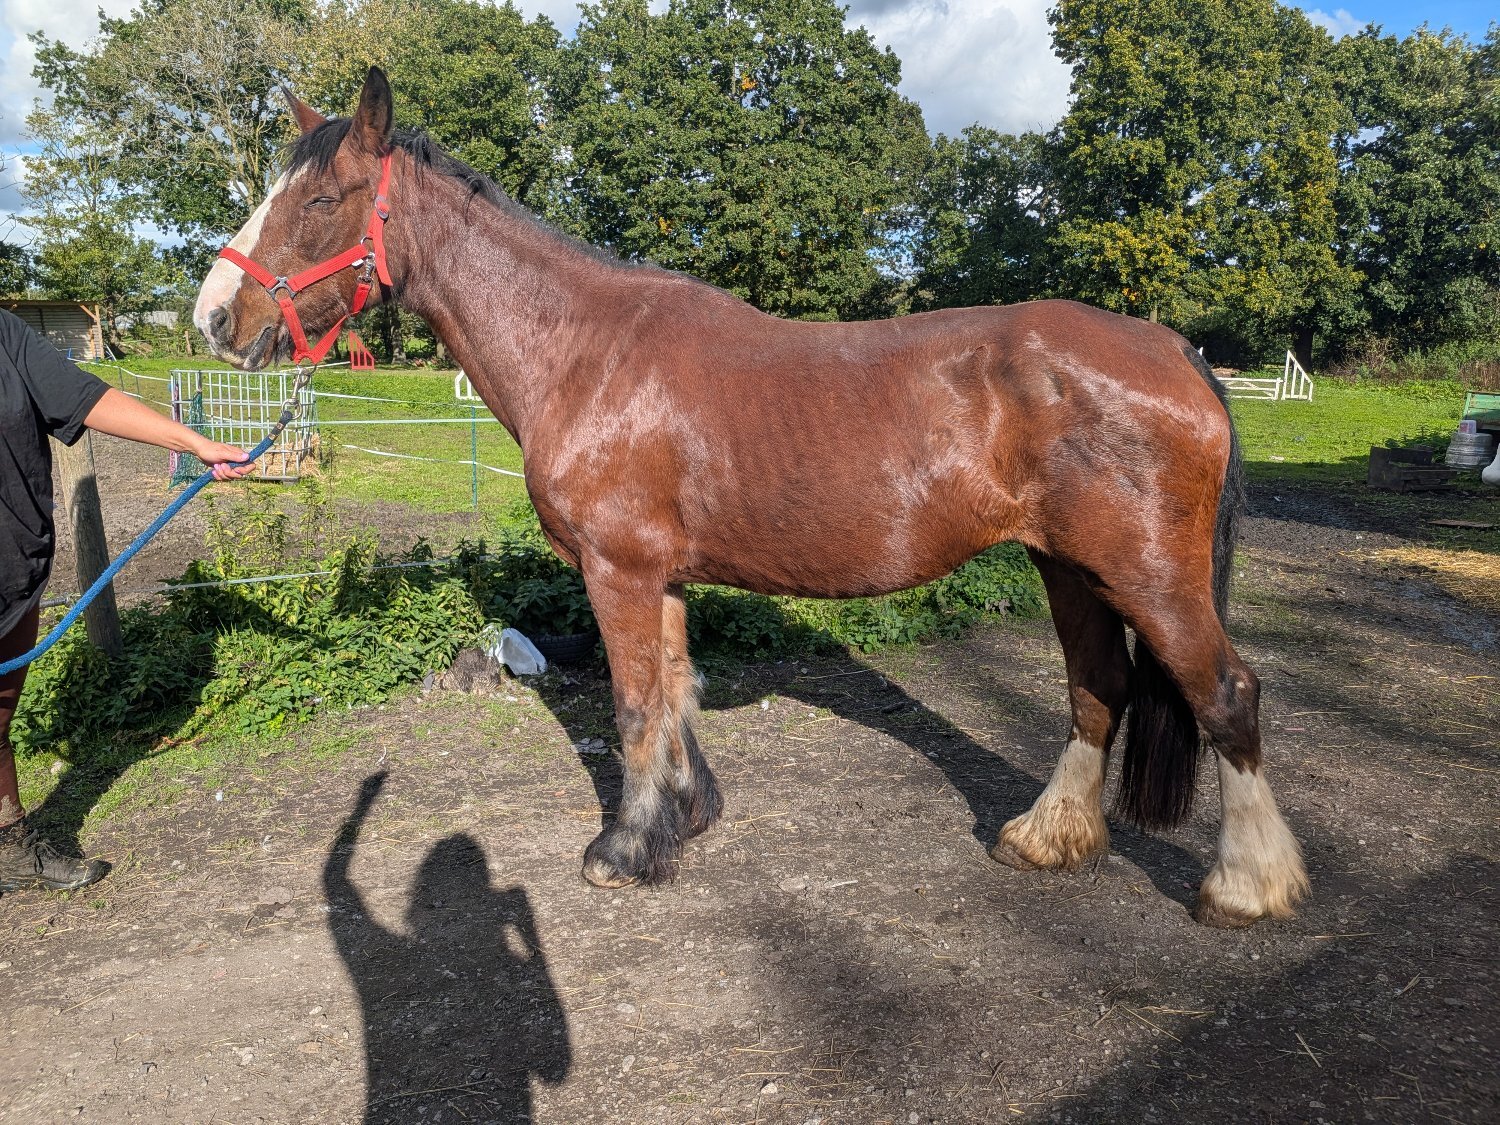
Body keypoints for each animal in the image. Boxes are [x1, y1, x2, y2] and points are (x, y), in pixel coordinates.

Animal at [194, 68, 1308, 928]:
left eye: (321, 202)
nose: (212, 318)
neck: (585, 352)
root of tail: (1175, 350)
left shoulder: (618, 569)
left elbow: (635, 702)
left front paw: (623, 850)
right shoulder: (661, 575)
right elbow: (674, 693)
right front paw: (683, 819)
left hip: (1147, 574)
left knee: (1226, 694)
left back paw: (1245, 886)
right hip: (1069, 567)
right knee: (1098, 691)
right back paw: (1044, 838)